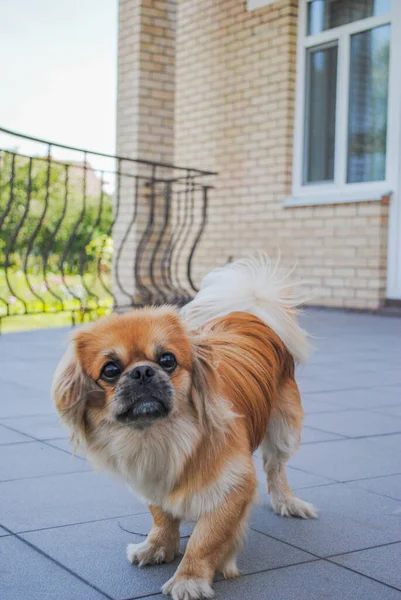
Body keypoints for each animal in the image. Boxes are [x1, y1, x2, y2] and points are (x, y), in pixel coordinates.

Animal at [52, 254, 316, 600]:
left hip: (284, 429)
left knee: (276, 469)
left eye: (167, 360)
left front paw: (189, 579)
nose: (142, 372)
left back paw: (288, 503)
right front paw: (157, 547)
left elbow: (206, 540)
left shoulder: (233, 488)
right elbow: (161, 517)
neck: (162, 436)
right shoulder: (150, 480)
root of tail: (248, 310)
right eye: (110, 370)